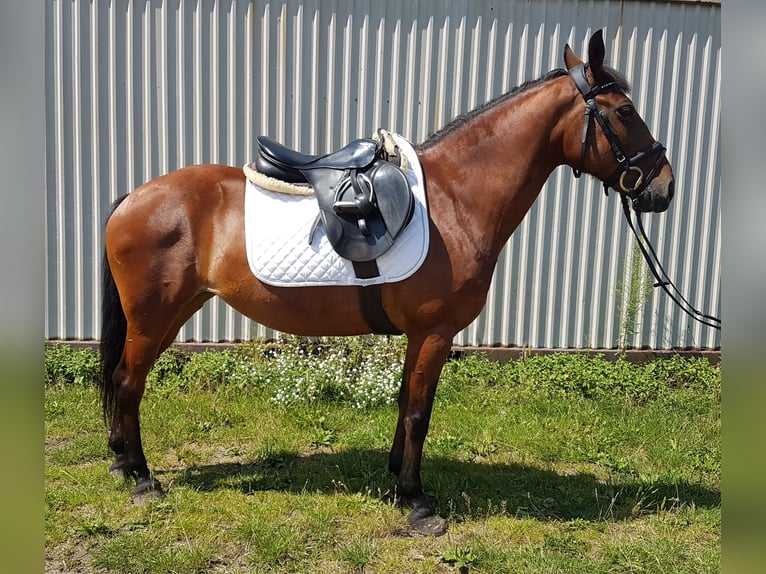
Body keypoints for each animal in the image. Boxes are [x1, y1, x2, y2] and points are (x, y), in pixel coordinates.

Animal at [100, 30, 672, 536]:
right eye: (625, 111)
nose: (663, 187)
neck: (455, 199)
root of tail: (133, 198)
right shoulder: (435, 332)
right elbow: (419, 411)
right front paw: (417, 502)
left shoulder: (420, 336)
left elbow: (404, 402)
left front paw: (397, 475)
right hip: (154, 318)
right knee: (129, 382)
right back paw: (142, 478)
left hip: (172, 313)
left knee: (124, 380)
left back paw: (123, 463)